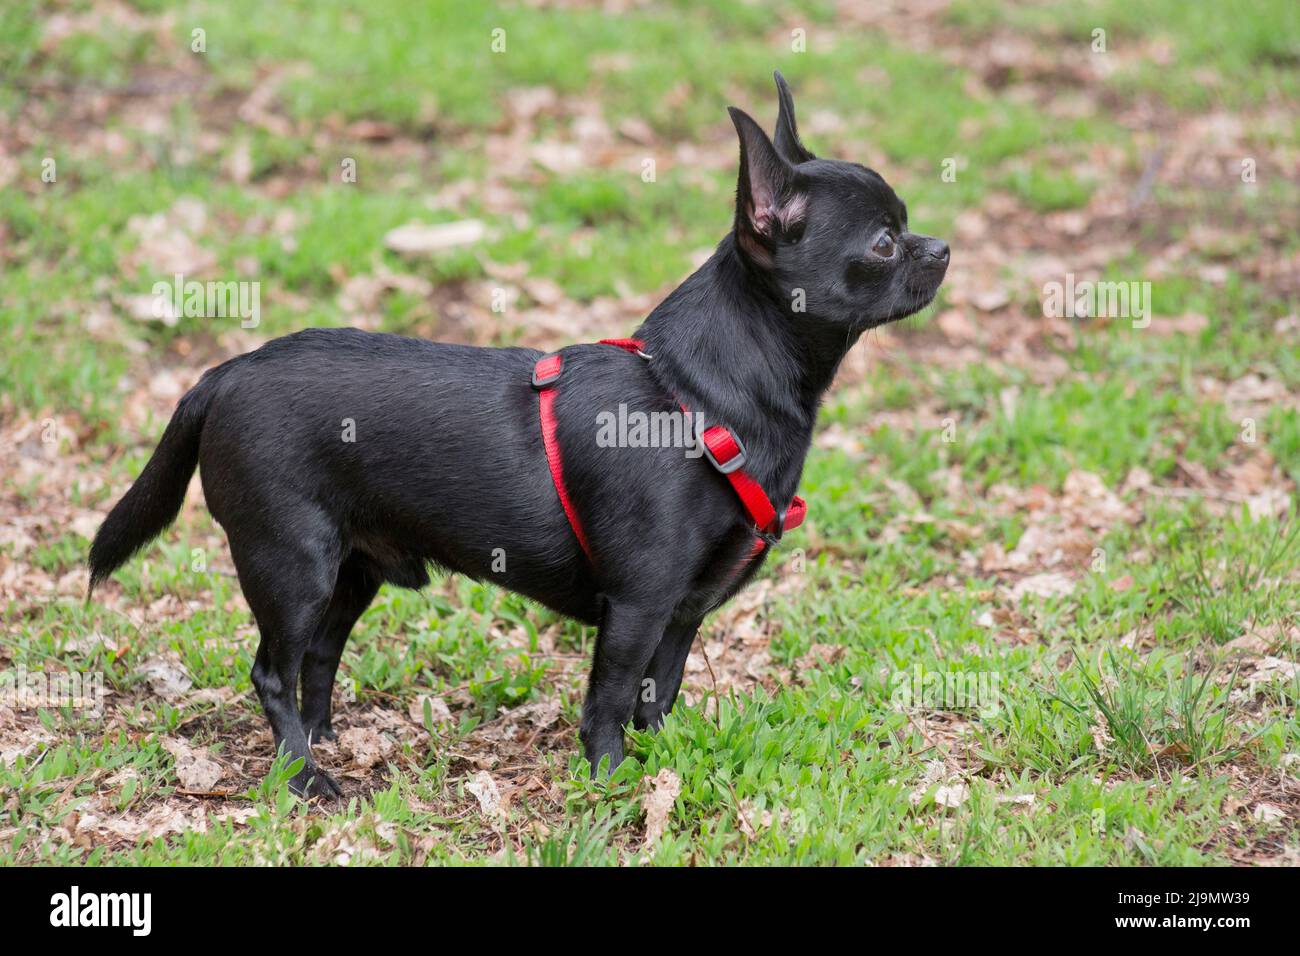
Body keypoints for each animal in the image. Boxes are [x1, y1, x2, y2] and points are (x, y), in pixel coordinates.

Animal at [89, 72, 946, 801]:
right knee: (273, 669)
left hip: (350, 572)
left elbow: (658, 697)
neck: (696, 396)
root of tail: (224, 372)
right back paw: (305, 776)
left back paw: (324, 738)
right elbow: (609, 702)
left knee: (318, 656)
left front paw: (664, 761)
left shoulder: (682, 616)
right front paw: (609, 783)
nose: (940, 247)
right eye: (881, 242)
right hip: (291, 565)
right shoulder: (637, 609)